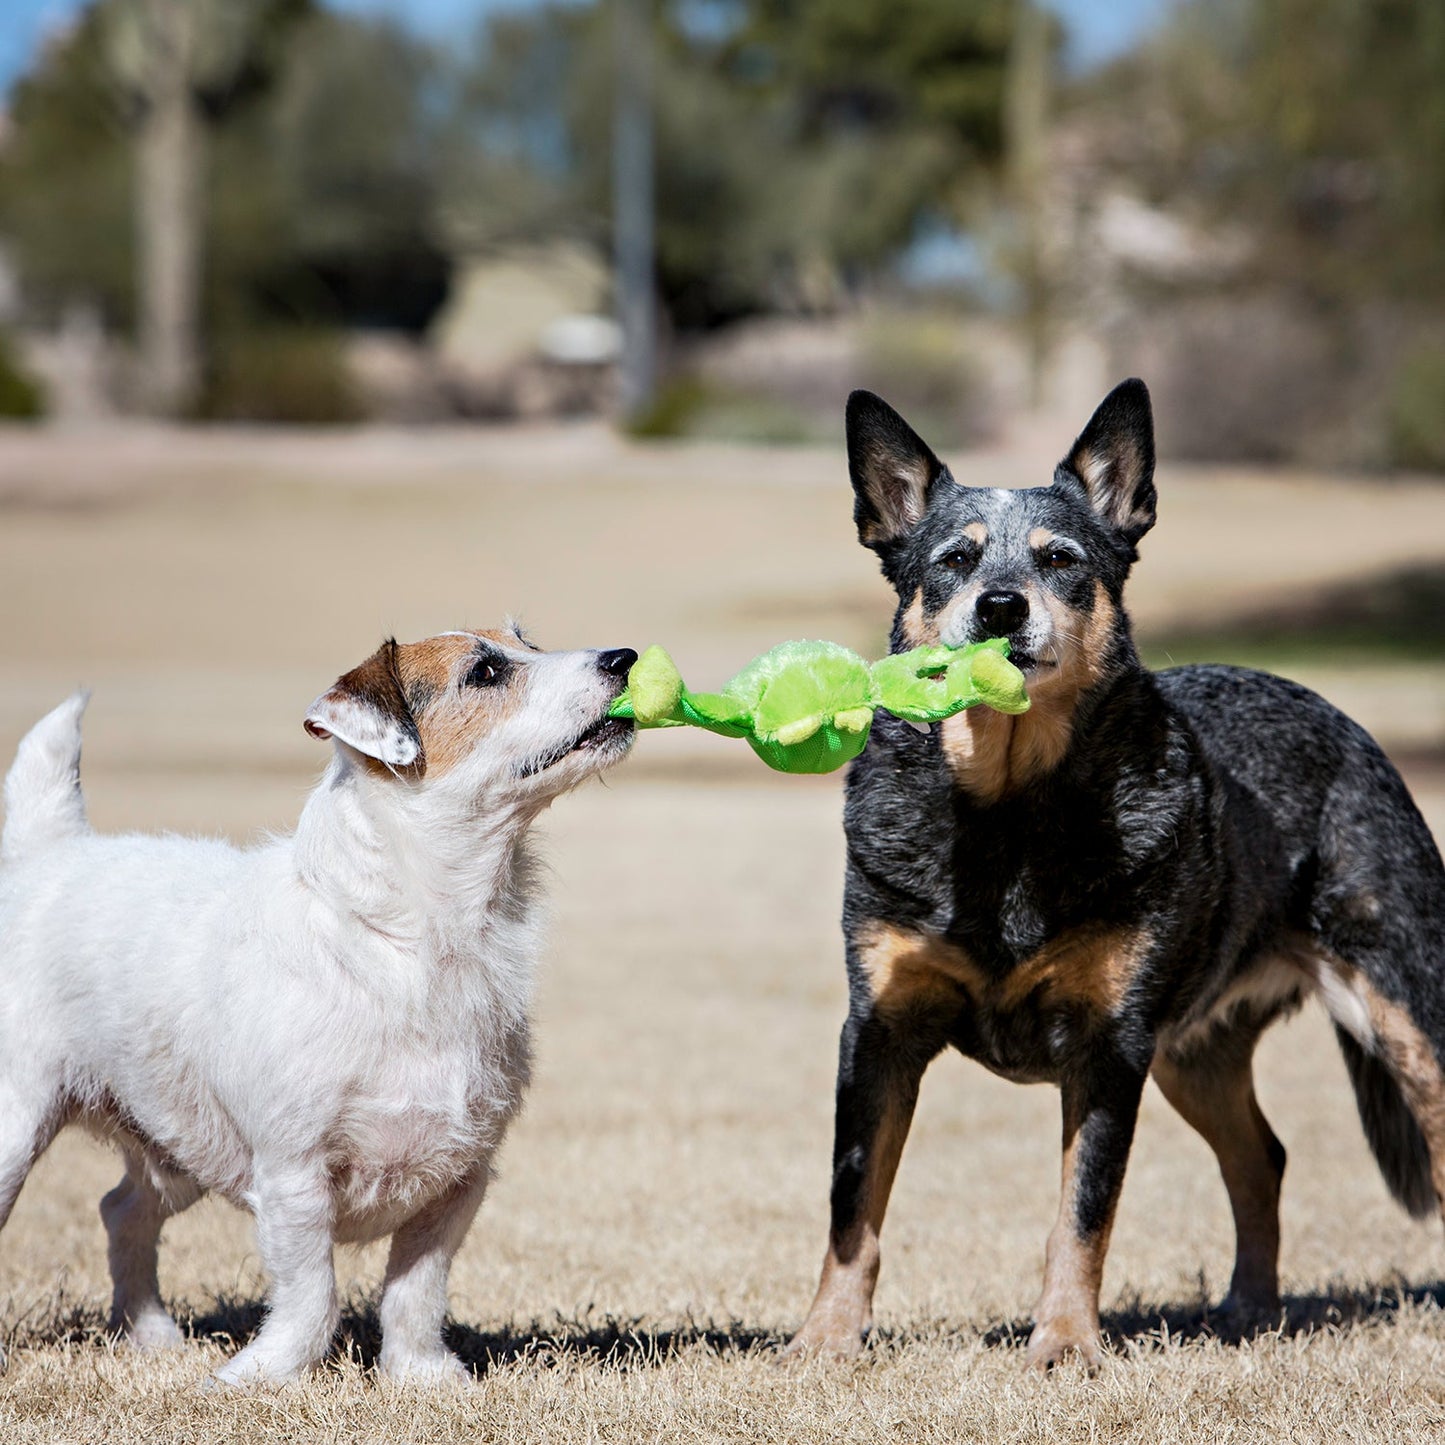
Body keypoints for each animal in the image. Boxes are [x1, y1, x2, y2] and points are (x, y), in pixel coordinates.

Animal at [0, 627, 638, 1381]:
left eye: (526, 641)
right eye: (485, 672)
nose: (624, 658)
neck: (407, 942)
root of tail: (50, 855)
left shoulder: (459, 1180)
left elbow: (416, 1292)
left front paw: (422, 1375)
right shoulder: (293, 1176)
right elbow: (311, 1294)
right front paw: (261, 1376)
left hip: (174, 1143)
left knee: (122, 1209)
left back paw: (151, 1334)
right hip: (20, 1127)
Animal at [786, 378, 1445, 1369]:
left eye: (1060, 559)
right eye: (952, 559)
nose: (1001, 606)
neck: (1007, 812)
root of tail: (1346, 721)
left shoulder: (1109, 1045)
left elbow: (1081, 1212)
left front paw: (1063, 1343)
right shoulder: (879, 1031)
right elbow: (851, 1205)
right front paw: (826, 1336)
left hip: (1401, 1009)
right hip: (1193, 1051)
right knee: (1262, 1157)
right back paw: (1247, 1306)